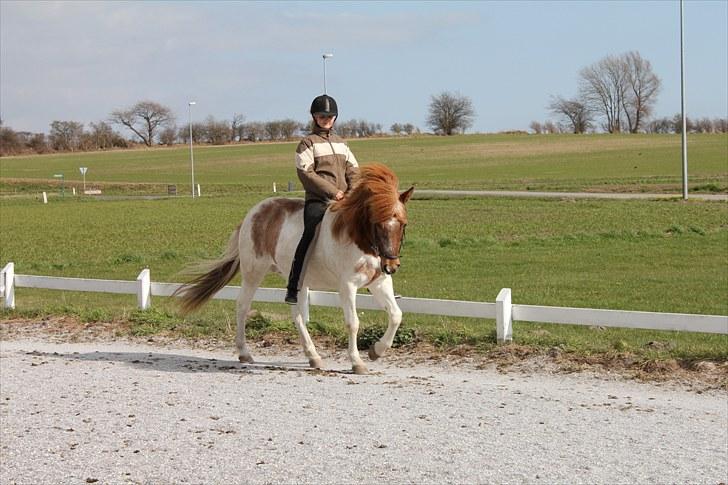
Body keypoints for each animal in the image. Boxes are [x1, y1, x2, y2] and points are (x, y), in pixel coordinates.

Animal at [173, 164, 412, 374]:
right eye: (377, 223)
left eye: (403, 224)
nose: (391, 266)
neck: (358, 238)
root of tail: (253, 213)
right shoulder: (347, 286)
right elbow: (353, 323)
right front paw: (357, 363)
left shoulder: (379, 283)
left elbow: (396, 315)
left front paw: (376, 351)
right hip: (253, 272)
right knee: (242, 305)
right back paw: (244, 353)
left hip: (297, 280)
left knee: (297, 315)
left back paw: (313, 356)